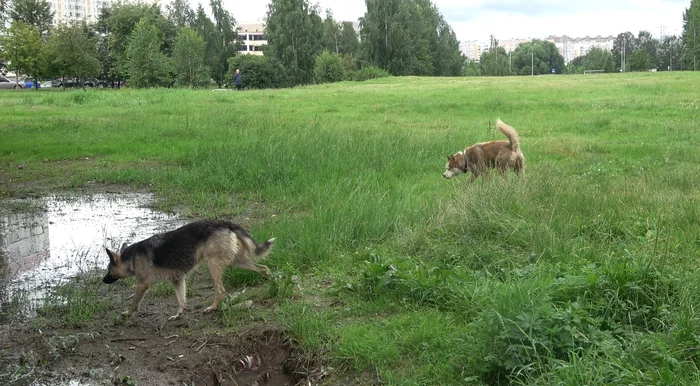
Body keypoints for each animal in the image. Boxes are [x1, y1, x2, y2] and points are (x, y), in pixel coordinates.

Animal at [102, 219, 274, 322]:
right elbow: (181, 300)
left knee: (221, 291)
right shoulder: (177, 279)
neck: (131, 257)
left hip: (212, 265)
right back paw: (272, 284)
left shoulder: (143, 284)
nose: (103, 280)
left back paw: (212, 308)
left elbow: (134, 302)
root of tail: (224, 222)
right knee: (264, 268)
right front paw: (178, 314)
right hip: (238, 261)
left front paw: (127, 314)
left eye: (109, 269)